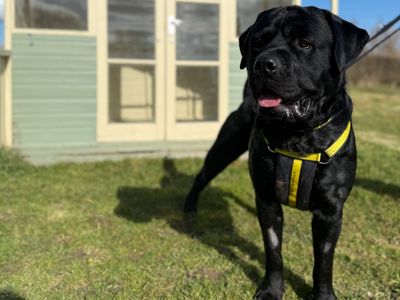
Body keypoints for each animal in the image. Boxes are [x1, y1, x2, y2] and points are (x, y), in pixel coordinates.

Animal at [184, 5, 368, 300]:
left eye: (304, 43)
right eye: (258, 42)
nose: (263, 64)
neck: (298, 134)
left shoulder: (330, 210)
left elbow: (324, 261)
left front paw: (323, 295)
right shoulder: (268, 200)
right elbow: (273, 251)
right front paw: (271, 290)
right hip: (225, 147)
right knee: (202, 175)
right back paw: (189, 207)